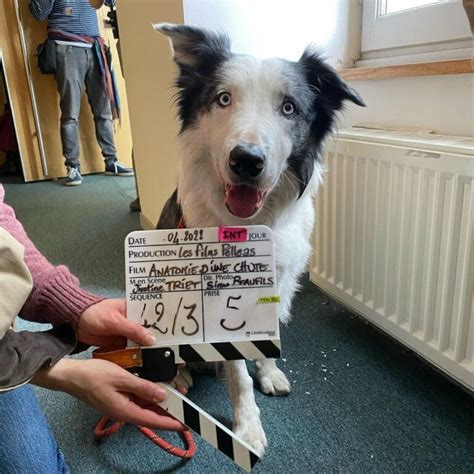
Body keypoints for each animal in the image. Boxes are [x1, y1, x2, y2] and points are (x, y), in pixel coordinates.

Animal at [155, 23, 362, 456]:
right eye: (223, 98)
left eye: (289, 108)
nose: (246, 160)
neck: (251, 224)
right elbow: (238, 372)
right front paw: (247, 427)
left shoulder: (279, 282)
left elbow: (266, 341)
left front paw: (268, 373)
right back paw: (178, 376)